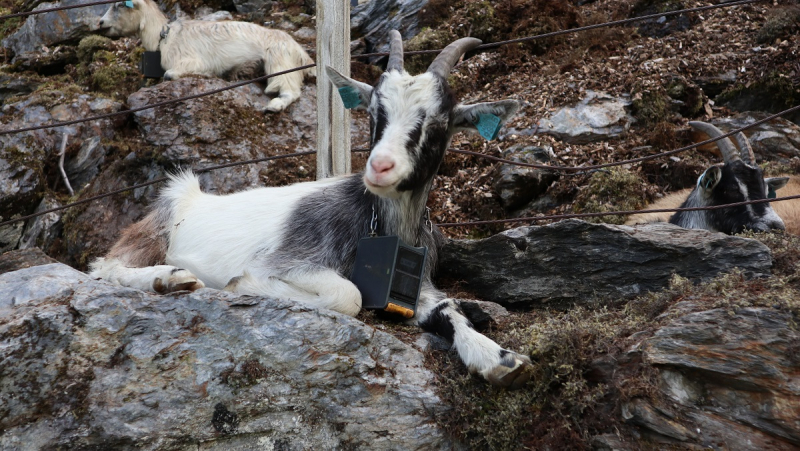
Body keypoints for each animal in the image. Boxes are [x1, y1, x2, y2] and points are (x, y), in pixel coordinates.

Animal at [97, 0, 316, 112]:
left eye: (119, 5)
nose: (100, 23)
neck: (164, 36)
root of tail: (302, 53)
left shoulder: (191, 60)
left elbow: (169, 74)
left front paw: (208, 75)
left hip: (280, 62)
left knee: (289, 89)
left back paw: (275, 105)